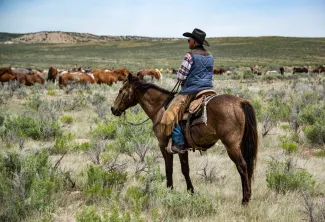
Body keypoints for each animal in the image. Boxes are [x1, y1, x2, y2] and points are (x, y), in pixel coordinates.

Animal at [111, 74, 258, 205]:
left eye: (121, 90)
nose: (113, 109)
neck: (160, 109)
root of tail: (241, 102)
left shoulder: (164, 146)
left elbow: (169, 169)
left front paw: (169, 191)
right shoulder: (182, 149)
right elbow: (185, 169)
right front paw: (191, 192)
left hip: (231, 145)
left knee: (242, 166)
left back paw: (245, 200)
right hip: (241, 144)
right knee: (248, 166)